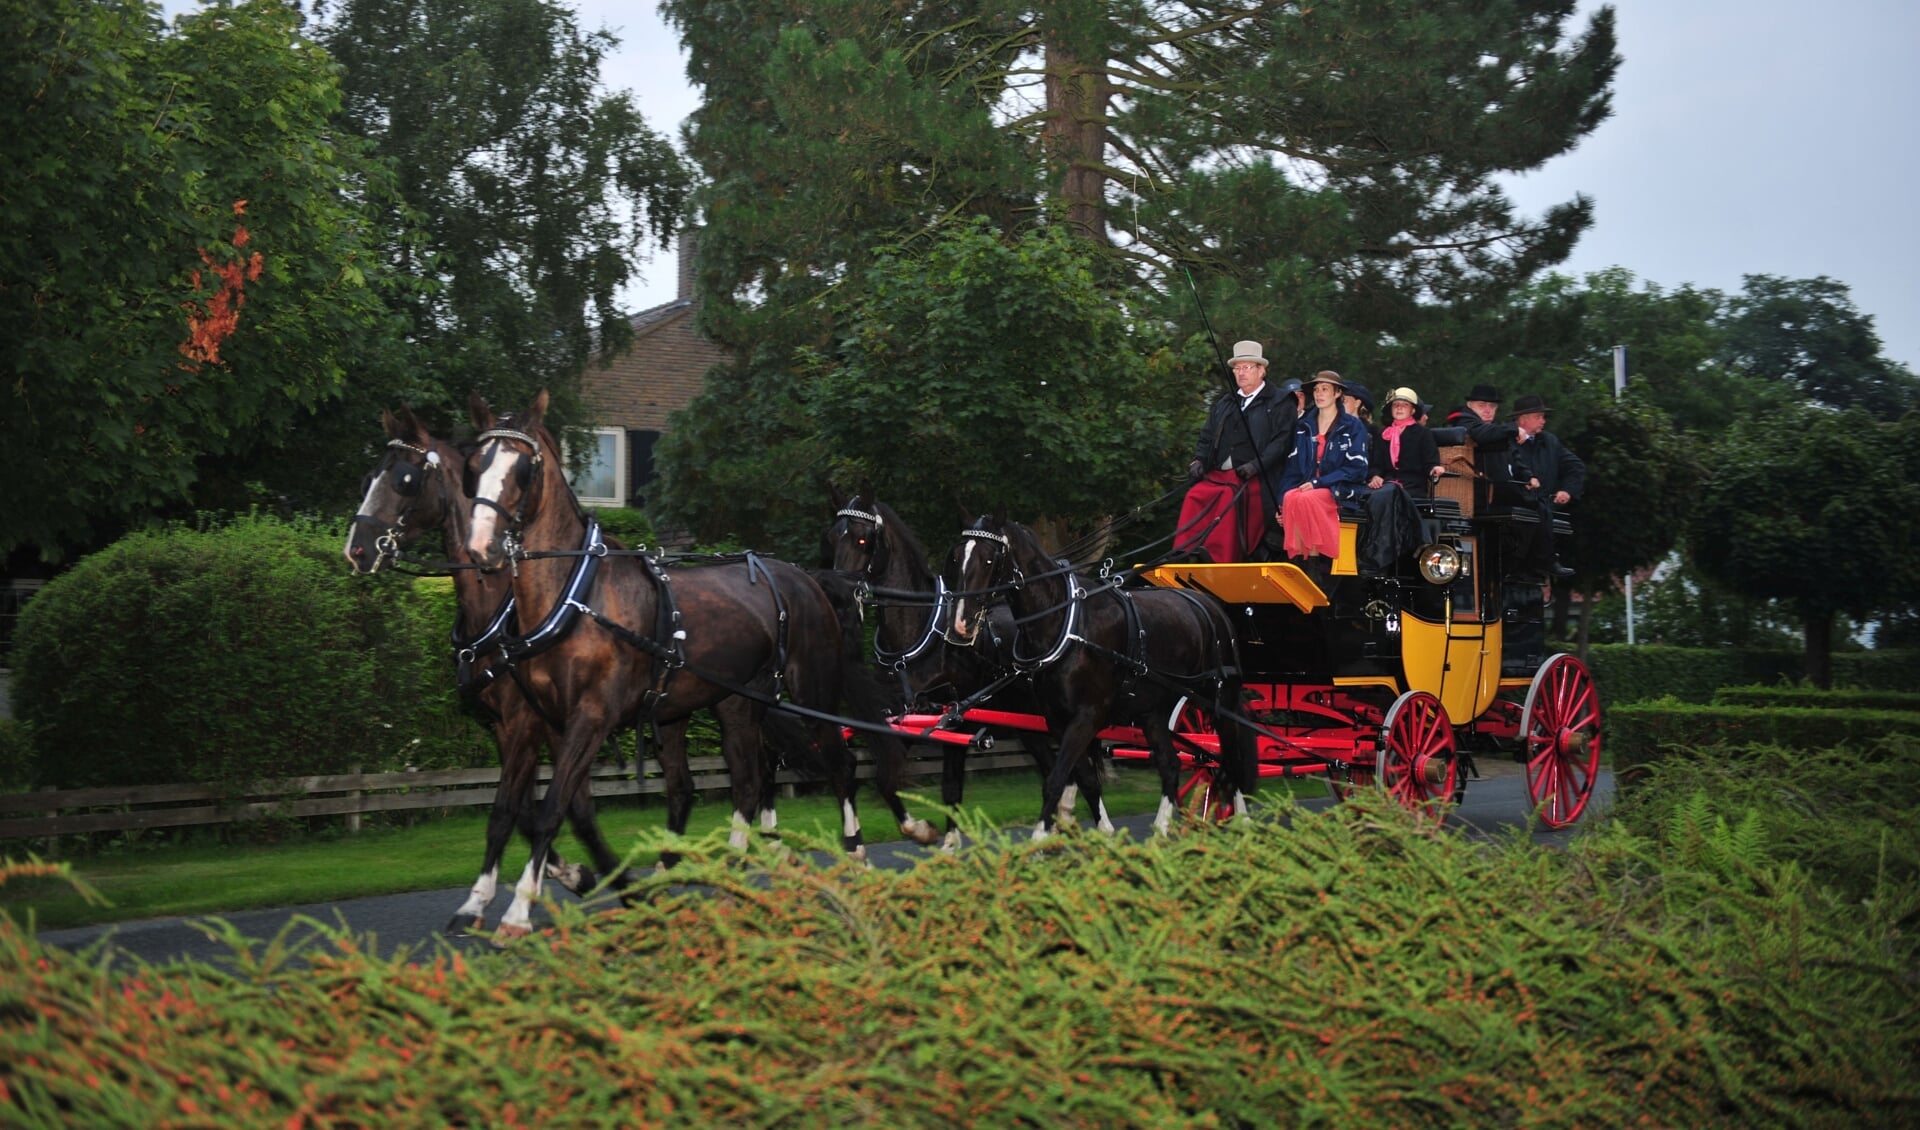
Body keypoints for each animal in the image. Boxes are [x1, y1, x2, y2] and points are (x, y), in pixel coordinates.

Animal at [341, 402, 618, 924]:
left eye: (405, 479)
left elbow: (519, 808)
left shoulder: (527, 722)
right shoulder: (506, 727)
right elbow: (525, 810)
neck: (497, 606)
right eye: (368, 476)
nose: (358, 549)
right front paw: (571, 874)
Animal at [460, 391, 917, 940]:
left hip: (812, 690)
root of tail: (809, 580)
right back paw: (732, 868)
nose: (481, 547)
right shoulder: (536, 719)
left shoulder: (590, 718)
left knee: (839, 764)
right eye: (473, 465)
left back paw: (855, 852)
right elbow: (514, 807)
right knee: (748, 779)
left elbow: (551, 811)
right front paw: (479, 900)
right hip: (739, 703)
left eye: (524, 468)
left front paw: (518, 912)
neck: (576, 598)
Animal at [829, 494, 1113, 844]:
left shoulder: (955, 719)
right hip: (1028, 721)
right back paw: (1065, 819)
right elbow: (886, 777)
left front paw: (949, 842)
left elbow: (950, 787)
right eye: (832, 537)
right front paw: (919, 829)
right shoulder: (905, 716)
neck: (921, 634)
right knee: (1060, 768)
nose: (837, 596)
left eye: (862, 539)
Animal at [948, 514, 1251, 832]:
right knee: (1170, 764)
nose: (960, 624)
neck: (1066, 624)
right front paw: (1101, 833)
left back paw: (1242, 821)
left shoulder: (1088, 716)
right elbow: (1085, 780)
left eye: (989, 559)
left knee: (1231, 761)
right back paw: (1159, 831)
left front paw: (1041, 836)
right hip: (1153, 712)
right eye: (956, 557)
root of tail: (1211, 606)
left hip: (1222, 701)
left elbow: (1056, 780)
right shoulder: (1058, 720)